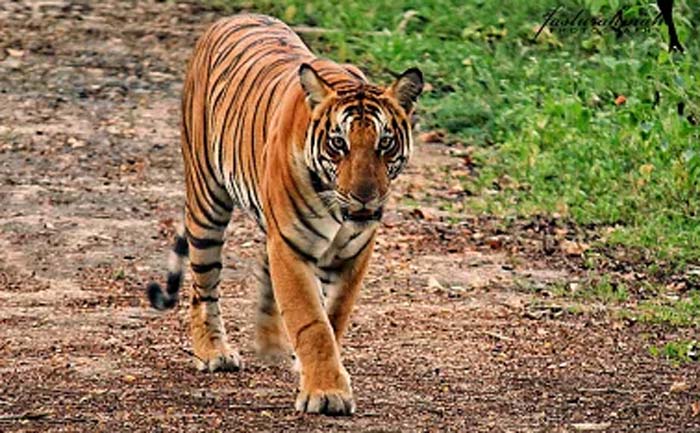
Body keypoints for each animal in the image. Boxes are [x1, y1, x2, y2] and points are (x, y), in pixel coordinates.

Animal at [147, 13, 422, 416]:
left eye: (384, 143)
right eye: (338, 144)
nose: (365, 197)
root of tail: (234, 16)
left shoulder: (354, 251)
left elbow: (333, 316)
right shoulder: (291, 245)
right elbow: (311, 320)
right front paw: (326, 392)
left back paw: (272, 341)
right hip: (207, 202)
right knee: (204, 285)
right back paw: (213, 352)